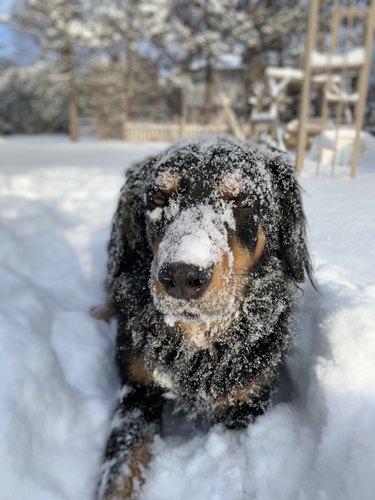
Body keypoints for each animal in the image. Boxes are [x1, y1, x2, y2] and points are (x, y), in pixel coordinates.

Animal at [97, 135, 314, 498]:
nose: (182, 275)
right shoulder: (137, 391)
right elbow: (119, 474)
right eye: (158, 198)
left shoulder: (247, 404)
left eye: (242, 202)